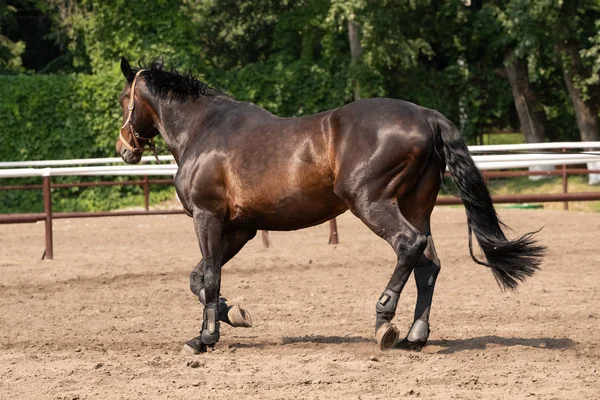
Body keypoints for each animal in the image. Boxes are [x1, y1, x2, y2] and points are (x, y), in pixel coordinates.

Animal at [116, 58, 544, 354]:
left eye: (123, 100)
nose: (124, 149)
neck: (203, 130)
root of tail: (425, 115)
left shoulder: (208, 218)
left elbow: (208, 278)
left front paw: (204, 338)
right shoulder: (240, 227)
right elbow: (200, 279)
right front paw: (233, 313)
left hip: (371, 202)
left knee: (409, 246)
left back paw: (384, 320)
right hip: (417, 206)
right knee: (429, 265)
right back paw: (415, 336)